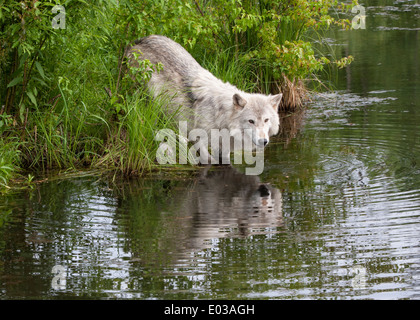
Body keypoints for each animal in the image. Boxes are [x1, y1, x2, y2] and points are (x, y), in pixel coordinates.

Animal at [124, 35, 282, 162]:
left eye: (266, 120)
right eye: (251, 121)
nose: (263, 141)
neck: (220, 116)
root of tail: (138, 41)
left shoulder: (224, 150)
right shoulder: (199, 140)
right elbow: (208, 160)